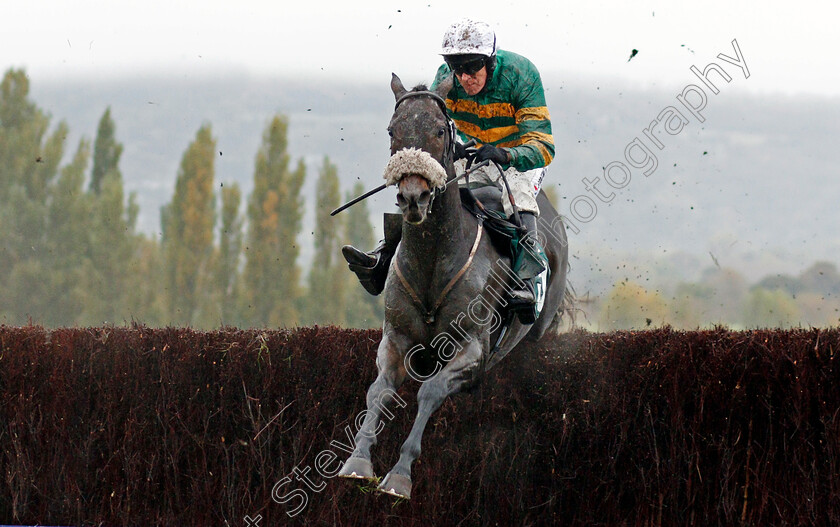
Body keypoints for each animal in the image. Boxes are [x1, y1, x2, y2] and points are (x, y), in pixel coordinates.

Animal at [336, 73, 572, 500]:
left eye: (438, 130)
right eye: (393, 129)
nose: (413, 197)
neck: (433, 262)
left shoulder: (473, 352)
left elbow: (429, 392)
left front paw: (399, 476)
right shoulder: (395, 339)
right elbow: (379, 391)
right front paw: (357, 462)